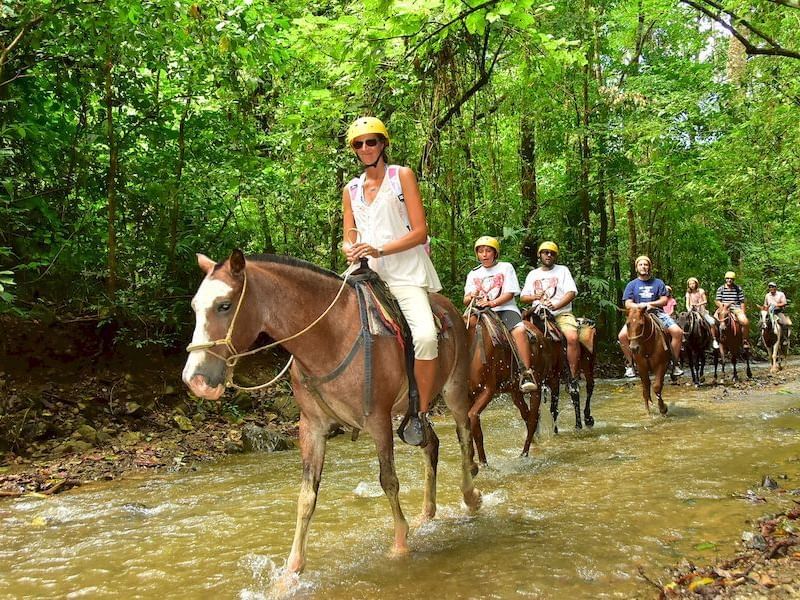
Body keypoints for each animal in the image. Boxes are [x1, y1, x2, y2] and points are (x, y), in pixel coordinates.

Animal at [182, 251, 482, 576]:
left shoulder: (378, 420)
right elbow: (306, 496)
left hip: (454, 389)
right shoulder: (311, 426)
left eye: (224, 305)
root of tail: (450, 307)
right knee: (431, 444)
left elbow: (389, 481)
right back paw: (427, 513)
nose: (194, 380)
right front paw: (292, 569)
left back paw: (471, 496)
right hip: (413, 411)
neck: (330, 338)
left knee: (463, 434)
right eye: (195, 307)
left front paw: (400, 545)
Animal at [462, 310, 564, 464]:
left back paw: (524, 454)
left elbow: (474, 421)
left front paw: (484, 464)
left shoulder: (488, 390)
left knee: (533, 418)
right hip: (516, 391)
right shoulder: (469, 395)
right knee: (527, 415)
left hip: (538, 387)